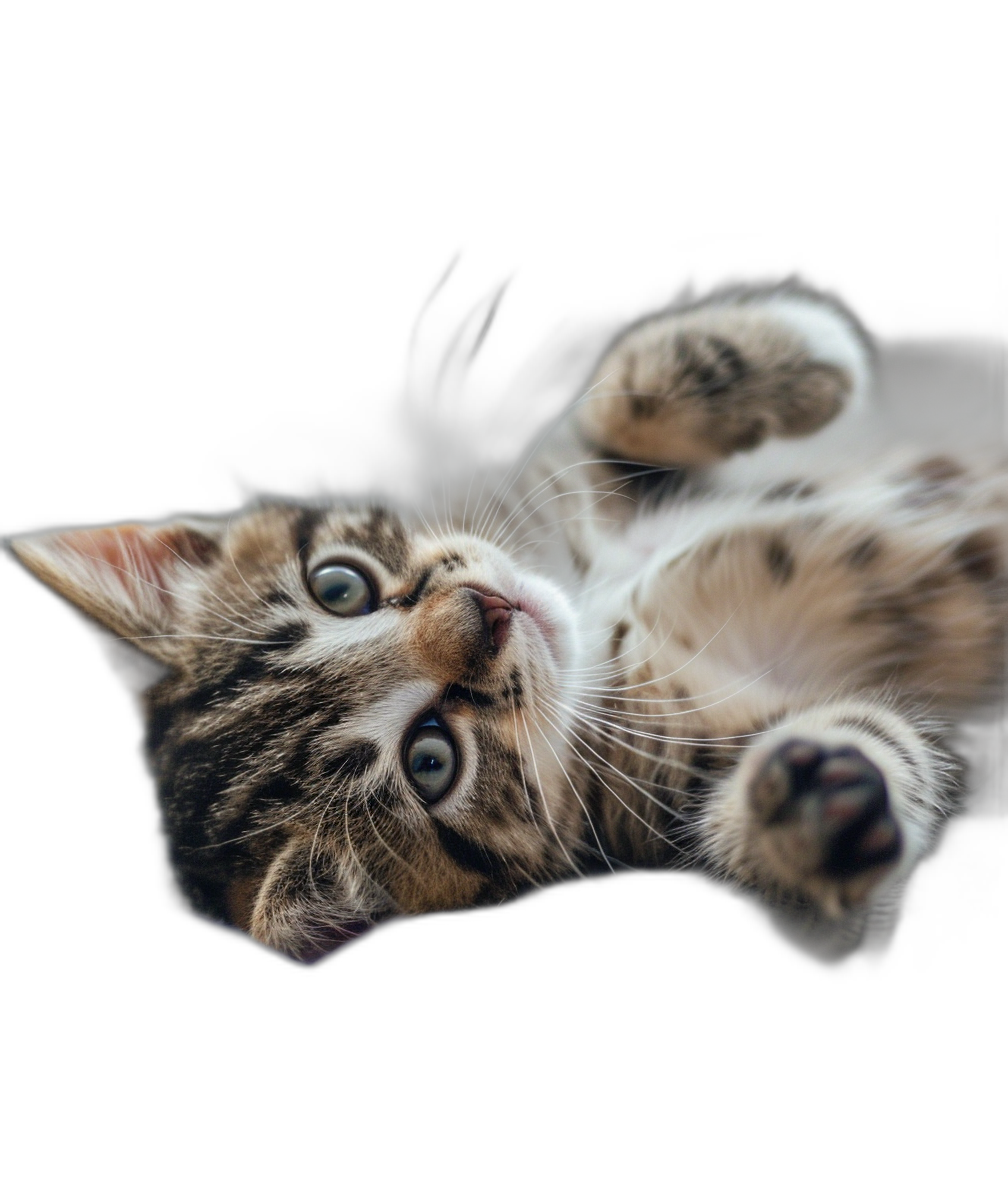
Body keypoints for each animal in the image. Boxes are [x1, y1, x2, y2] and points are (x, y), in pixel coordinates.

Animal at [9, 284, 1008, 961]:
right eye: (430, 759)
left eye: (340, 586)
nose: (487, 611)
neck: (606, 625)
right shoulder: (669, 809)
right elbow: (840, 873)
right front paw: (819, 804)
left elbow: (592, 422)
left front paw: (792, 346)